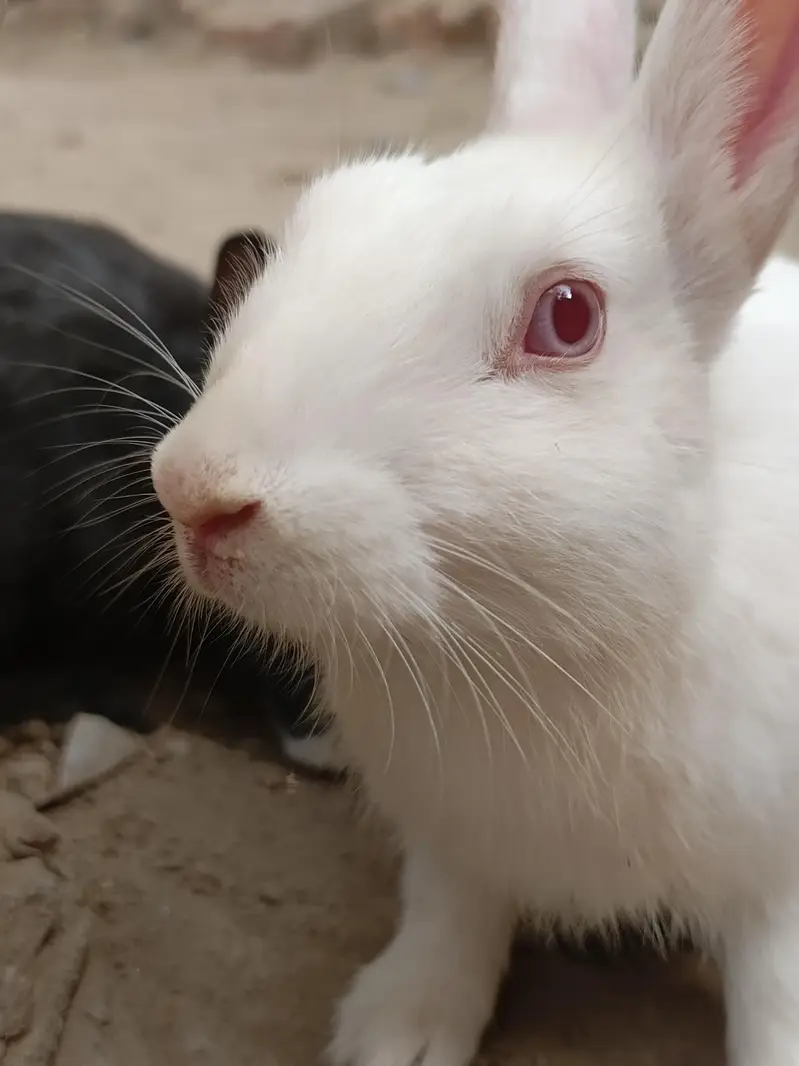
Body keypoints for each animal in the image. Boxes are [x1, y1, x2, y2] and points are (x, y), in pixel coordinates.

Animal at [150, 0, 799, 1061]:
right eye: (320, 219)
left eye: (568, 316)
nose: (196, 490)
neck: (531, 654)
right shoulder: (451, 843)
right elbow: (448, 916)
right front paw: (396, 1033)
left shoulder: (777, 876)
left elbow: (775, 995)